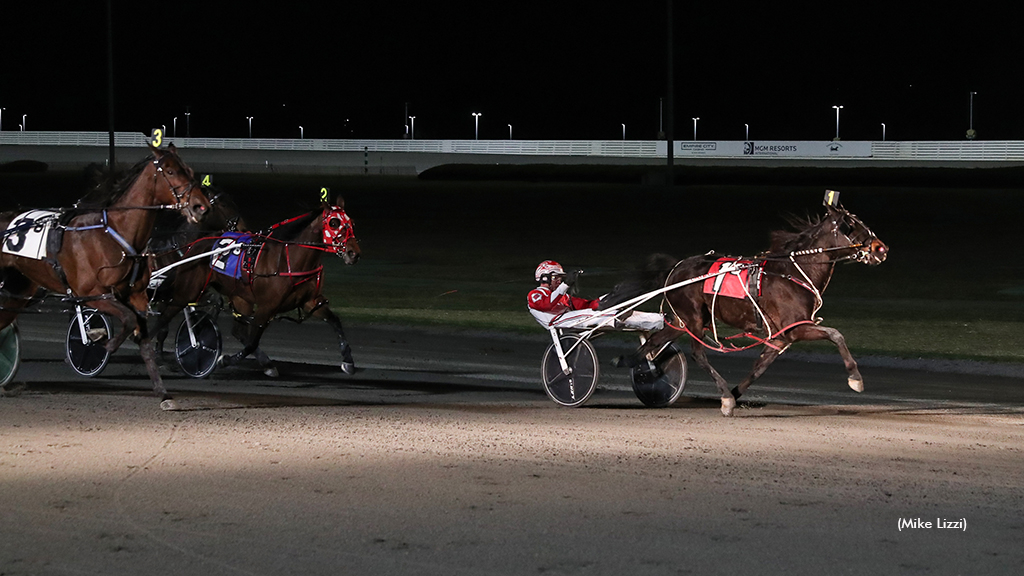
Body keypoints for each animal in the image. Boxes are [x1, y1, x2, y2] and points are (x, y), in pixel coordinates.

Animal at [0, 141, 209, 405]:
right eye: (171, 171)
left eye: (189, 170)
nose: (201, 207)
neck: (113, 234)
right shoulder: (94, 294)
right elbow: (127, 321)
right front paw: (101, 339)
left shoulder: (137, 296)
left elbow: (144, 341)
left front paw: (163, 394)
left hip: (19, 289)